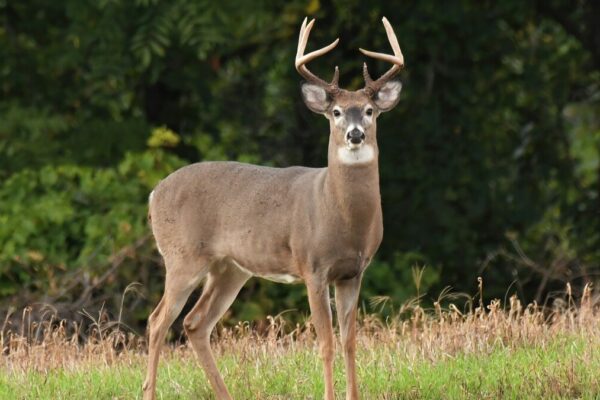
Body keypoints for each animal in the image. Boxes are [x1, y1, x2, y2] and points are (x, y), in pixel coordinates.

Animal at [142, 15, 404, 400]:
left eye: (370, 111)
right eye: (336, 112)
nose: (355, 134)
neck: (342, 215)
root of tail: (154, 194)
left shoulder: (354, 272)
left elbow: (350, 342)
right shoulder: (313, 266)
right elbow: (325, 343)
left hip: (230, 267)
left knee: (194, 322)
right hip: (182, 256)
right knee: (158, 320)